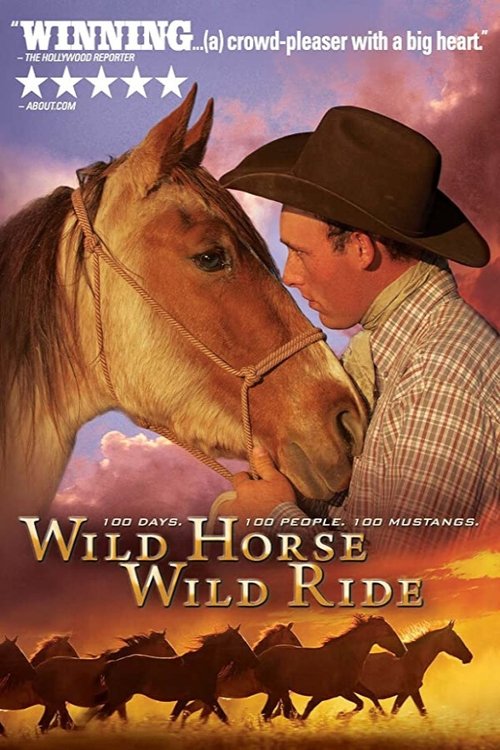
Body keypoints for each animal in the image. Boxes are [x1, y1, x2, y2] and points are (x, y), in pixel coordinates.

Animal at [34, 630, 176, 731]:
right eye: (166, 646)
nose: (176, 658)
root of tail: (38, 670)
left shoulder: (119, 704)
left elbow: (122, 721)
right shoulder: (115, 702)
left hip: (53, 705)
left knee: (45, 725)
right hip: (56, 703)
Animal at [96, 625, 258, 724]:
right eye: (241, 642)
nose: (255, 660)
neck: (203, 664)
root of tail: (112, 663)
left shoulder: (184, 699)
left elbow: (173, 717)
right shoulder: (207, 697)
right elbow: (224, 718)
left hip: (118, 699)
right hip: (118, 698)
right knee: (101, 716)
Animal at [257, 614, 406, 721]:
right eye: (389, 632)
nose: (403, 651)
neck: (346, 655)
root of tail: (261, 658)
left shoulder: (353, 685)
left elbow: (371, 696)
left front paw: (384, 716)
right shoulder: (341, 691)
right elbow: (360, 703)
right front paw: (341, 716)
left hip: (277, 692)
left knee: (267, 714)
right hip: (279, 690)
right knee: (271, 713)